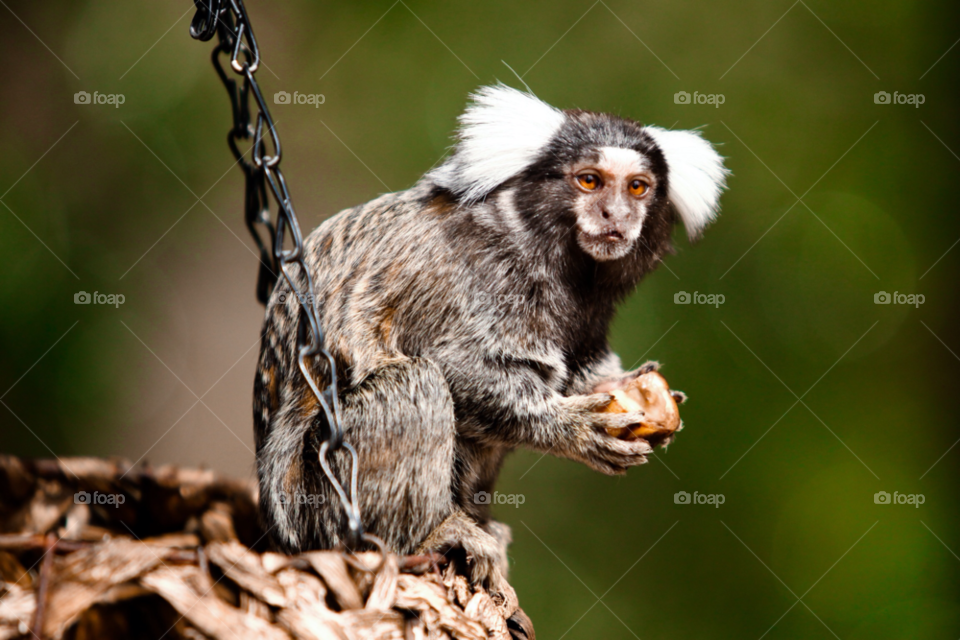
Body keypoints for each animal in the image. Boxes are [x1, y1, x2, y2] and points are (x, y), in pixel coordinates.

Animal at [253, 84, 728, 615]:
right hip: (317, 504)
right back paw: (429, 535)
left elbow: (577, 371)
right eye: (589, 181)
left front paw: (630, 389)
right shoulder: (481, 274)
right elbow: (458, 369)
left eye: (638, 188)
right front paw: (572, 431)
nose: (616, 217)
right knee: (414, 383)